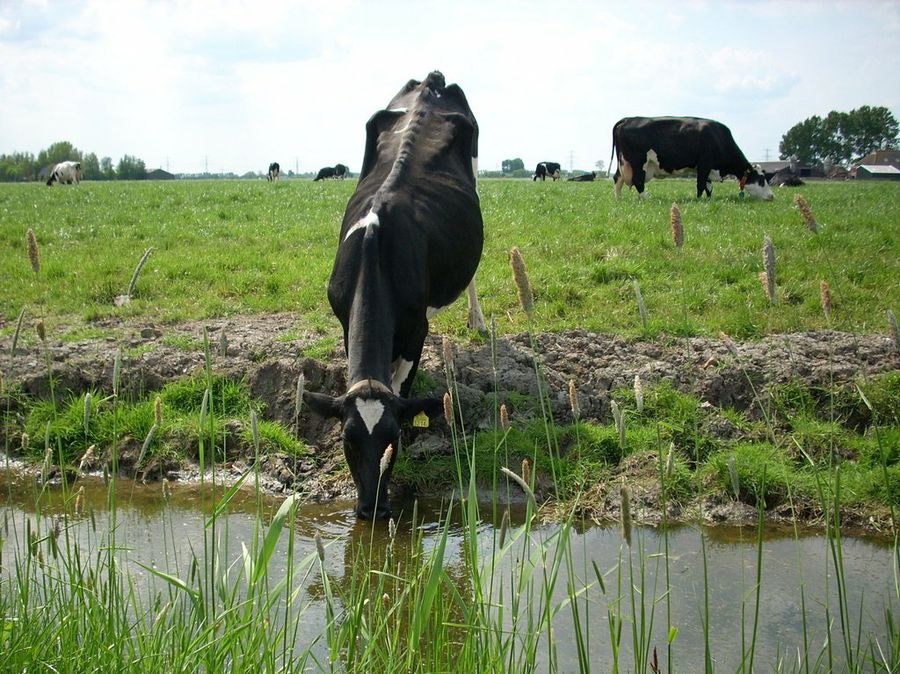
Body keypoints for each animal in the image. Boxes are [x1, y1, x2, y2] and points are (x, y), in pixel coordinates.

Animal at [303, 71, 487, 520]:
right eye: (347, 441)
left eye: (395, 438)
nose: (372, 508)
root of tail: (431, 81)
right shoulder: (343, 319)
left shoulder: (415, 331)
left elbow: (404, 387)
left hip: (477, 169)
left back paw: (477, 320)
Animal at [610, 117, 774, 200]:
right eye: (761, 180)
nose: (772, 196)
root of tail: (627, 119)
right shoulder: (704, 164)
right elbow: (701, 184)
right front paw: (699, 200)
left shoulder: (708, 168)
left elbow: (708, 186)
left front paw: (709, 199)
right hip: (638, 162)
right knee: (638, 180)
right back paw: (646, 198)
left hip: (623, 162)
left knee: (617, 178)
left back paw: (619, 199)